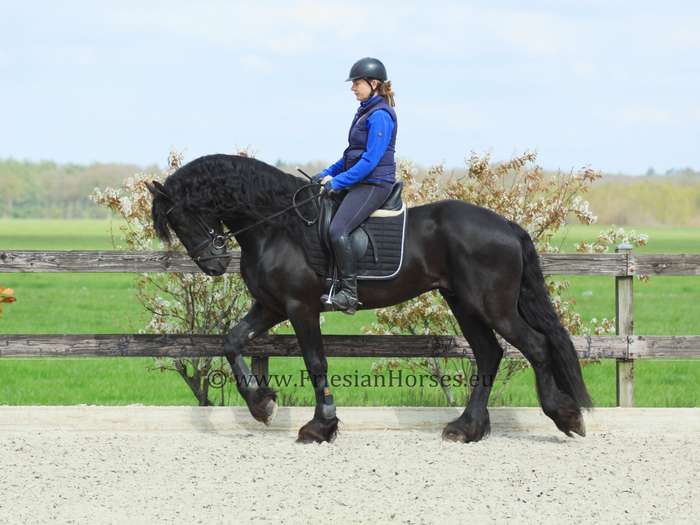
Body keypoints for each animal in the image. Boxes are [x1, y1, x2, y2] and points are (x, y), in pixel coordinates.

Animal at [146, 153, 592, 443]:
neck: (277, 226)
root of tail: (508, 227)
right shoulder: (270, 307)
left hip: (491, 305)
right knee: (489, 354)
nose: (213, 264)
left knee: (535, 345)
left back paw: (565, 416)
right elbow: (232, 341)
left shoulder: (300, 307)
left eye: (181, 216)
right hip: (464, 304)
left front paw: (319, 427)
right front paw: (262, 405)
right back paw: (466, 429)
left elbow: (316, 363)